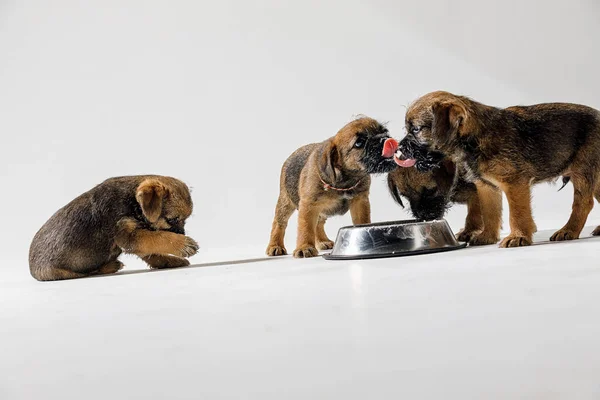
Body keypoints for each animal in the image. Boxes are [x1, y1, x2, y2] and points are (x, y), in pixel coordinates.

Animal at [29, 175, 199, 282]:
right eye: (172, 220)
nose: (182, 233)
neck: (132, 202)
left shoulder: (135, 238)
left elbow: (152, 252)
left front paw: (169, 261)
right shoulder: (128, 236)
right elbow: (158, 238)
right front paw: (182, 244)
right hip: (64, 273)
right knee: (87, 272)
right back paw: (111, 266)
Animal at [266, 117, 398, 258]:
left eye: (385, 131)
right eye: (359, 143)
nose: (384, 139)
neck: (345, 181)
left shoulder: (360, 202)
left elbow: (362, 220)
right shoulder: (308, 206)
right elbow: (306, 228)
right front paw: (304, 247)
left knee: (318, 223)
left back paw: (322, 241)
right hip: (286, 202)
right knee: (279, 223)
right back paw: (275, 246)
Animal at [398, 90, 600, 247]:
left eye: (415, 129)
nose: (400, 147)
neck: (475, 138)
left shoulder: (515, 183)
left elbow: (517, 213)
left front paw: (518, 236)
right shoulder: (487, 187)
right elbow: (490, 213)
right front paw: (487, 236)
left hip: (582, 171)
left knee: (584, 203)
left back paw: (568, 230)